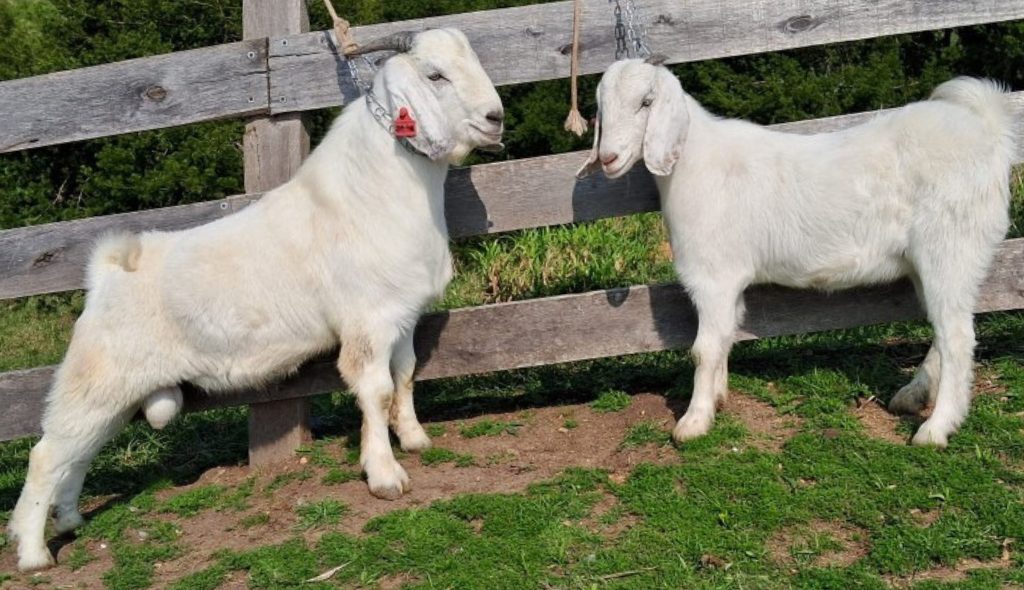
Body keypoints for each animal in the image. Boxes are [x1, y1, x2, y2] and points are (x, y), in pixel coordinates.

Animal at [7, 27, 503, 573]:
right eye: (435, 74)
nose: (495, 118)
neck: (372, 193)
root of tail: (108, 273)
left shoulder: (402, 317)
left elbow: (406, 376)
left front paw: (414, 439)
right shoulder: (367, 322)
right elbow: (376, 391)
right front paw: (384, 476)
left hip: (117, 392)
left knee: (79, 452)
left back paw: (70, 520)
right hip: (96, 376)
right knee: (47, 454)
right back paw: (33, 554)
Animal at [581, 57, 1019, 448]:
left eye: (647, 102)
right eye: (601, 107)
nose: (608, 158)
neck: (694, 164)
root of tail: (987, 131)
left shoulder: (713, 275)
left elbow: (704, 348)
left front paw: (693, 422)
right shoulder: (729, 283)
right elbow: (724, 338)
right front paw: (718, 398)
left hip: (951, 246)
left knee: (957, 337)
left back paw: (935, 429)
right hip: (929, 261)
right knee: (944, 329)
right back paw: (913, 396)